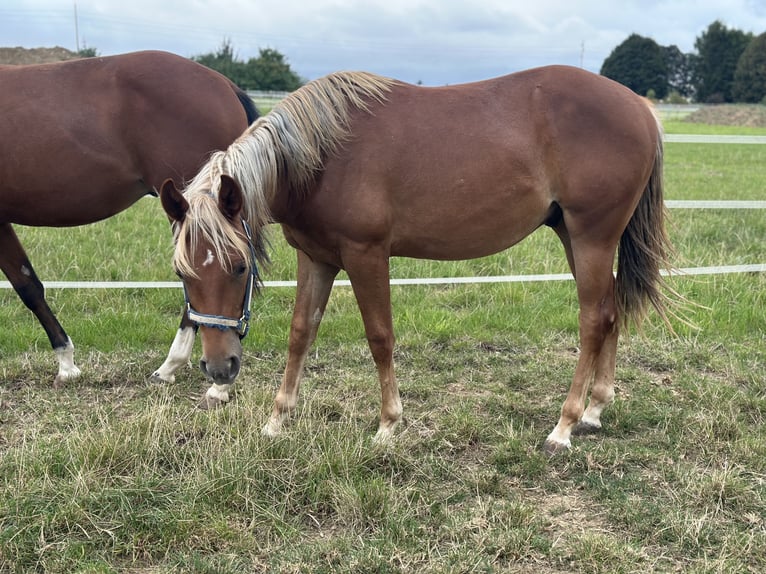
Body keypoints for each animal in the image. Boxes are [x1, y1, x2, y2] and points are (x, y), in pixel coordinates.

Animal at [0, 50, 258, 386]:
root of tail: (226, 85)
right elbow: (28, 284)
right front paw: (67, 362)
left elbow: (27, 287)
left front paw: (66, 364)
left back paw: (178, 367)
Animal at [159, 65, 674, 453]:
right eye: (183, 273)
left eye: (240, 268)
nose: (219, 368)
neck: (321, 156)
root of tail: (640, 109)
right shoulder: (316, 258)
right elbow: (301, 333)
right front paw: (276, 420)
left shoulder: (366, 255)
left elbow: (380, 337)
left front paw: (388, 424)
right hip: (573, 234)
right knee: (610, 311)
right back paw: (594, 410)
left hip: (592, 237)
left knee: (593, 320)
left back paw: (563, 427)